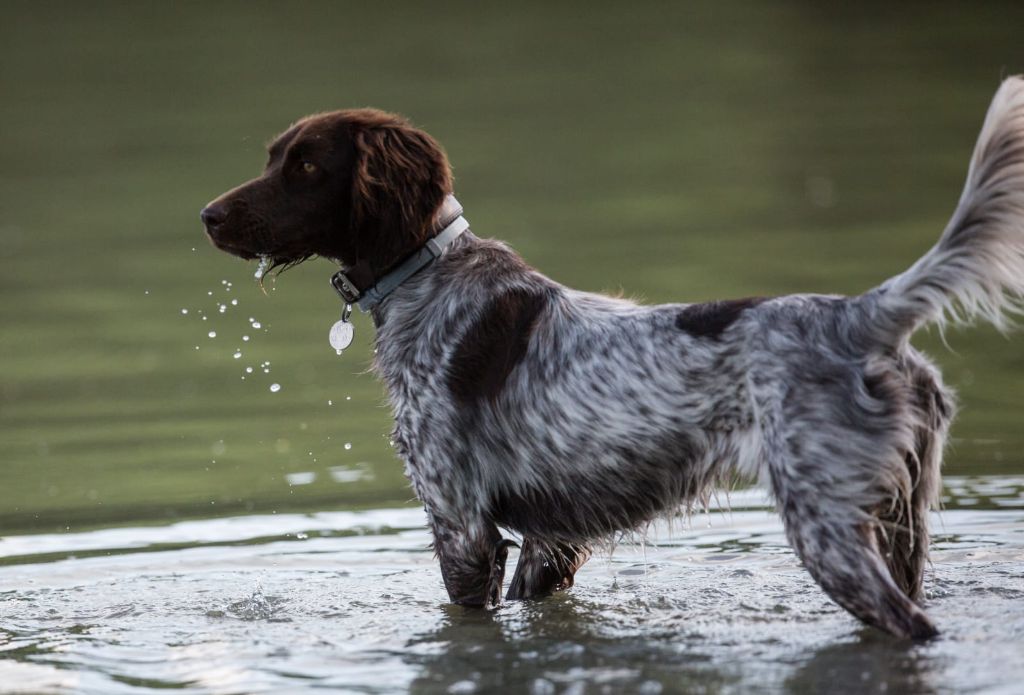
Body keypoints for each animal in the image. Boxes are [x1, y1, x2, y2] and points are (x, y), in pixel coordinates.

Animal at [202, 78, 1024, 640]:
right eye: (274, 158)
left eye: (307, 167)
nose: (207, 215)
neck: (429, 277)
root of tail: (858, 316)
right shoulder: (549, 537)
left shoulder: (461, 524)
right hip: (900, 524)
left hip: (827, 528)